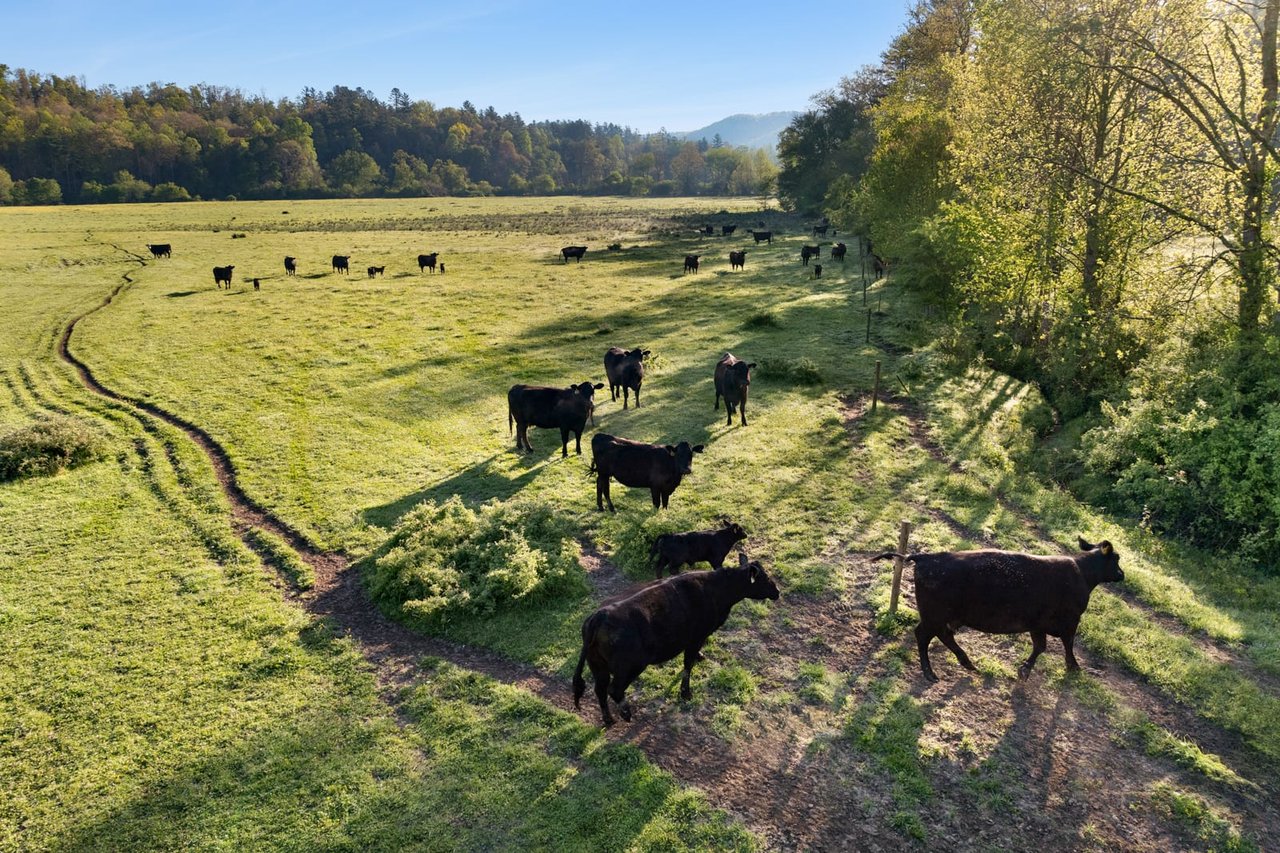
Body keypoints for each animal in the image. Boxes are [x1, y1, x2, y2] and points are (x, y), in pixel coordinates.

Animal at [573, 550, 778, 722]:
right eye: (765, 578)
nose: (777, 592)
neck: (716, 589)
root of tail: (600, 615)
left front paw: (700, 657)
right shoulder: (695, 638)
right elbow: (688, 665)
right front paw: (685, 693)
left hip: (598, 664)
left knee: (600, 689)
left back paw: (608, 719)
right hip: (629, 666)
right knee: (614, 690)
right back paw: (625, 712)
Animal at [875, 535, 1126, 681]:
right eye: (1116, 559)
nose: (1122, 575)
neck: (1082, 574)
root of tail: (924, 556)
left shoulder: (1037, 623)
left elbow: (1040, 646)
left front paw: (1025, 670)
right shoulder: (1070, 621)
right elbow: (1065, 644)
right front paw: (1073, 667)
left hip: (941, 615)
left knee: (942, 635)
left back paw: (967, 663)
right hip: (935, 615)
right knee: (925, 635)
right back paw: (932, 672)